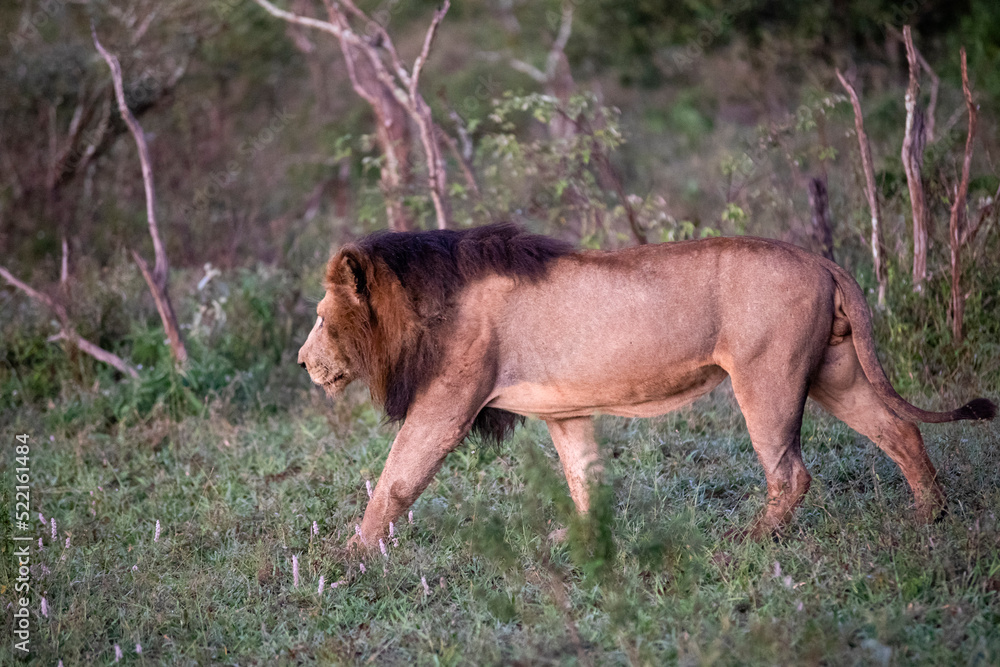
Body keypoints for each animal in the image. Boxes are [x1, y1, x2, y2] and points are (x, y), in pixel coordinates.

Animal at [300, 224, 996, 548]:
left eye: (319, 317)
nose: (304, 362)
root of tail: (820, 259)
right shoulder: (565, 411)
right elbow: (583, 477)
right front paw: (582, 540)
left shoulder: (446, 404)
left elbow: (395, 481)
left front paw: (350, 556)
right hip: (836, 372)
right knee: (900, 431)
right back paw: (929, 517)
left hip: (767, 376)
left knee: (792, 471)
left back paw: (752, 539)